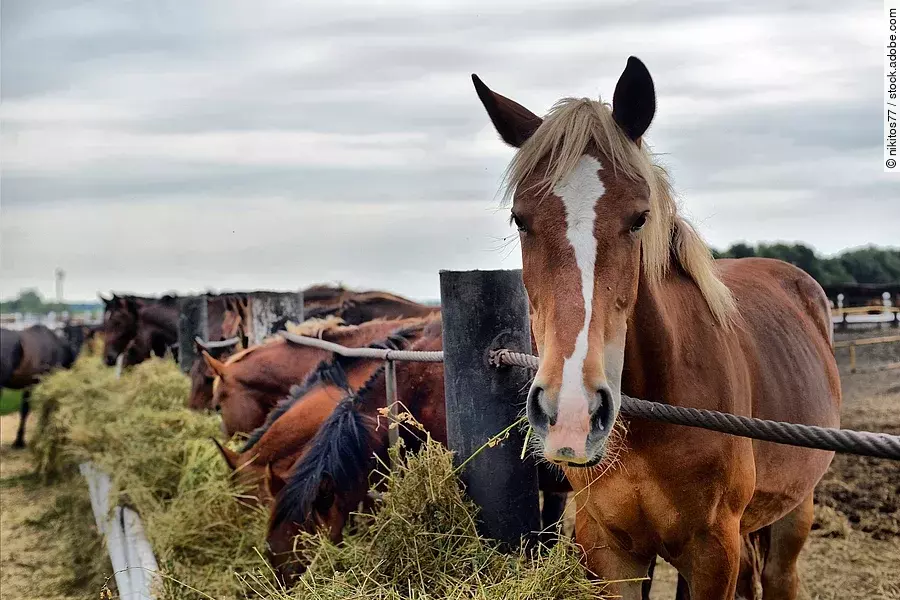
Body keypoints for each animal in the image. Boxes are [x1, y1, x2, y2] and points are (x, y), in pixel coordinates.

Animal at [471, 56, 840, 598]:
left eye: (639, 217)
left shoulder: (714, 553)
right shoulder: (608, 549)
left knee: (780, 576)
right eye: (520, 218)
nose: (573, 413)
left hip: (796, 509)